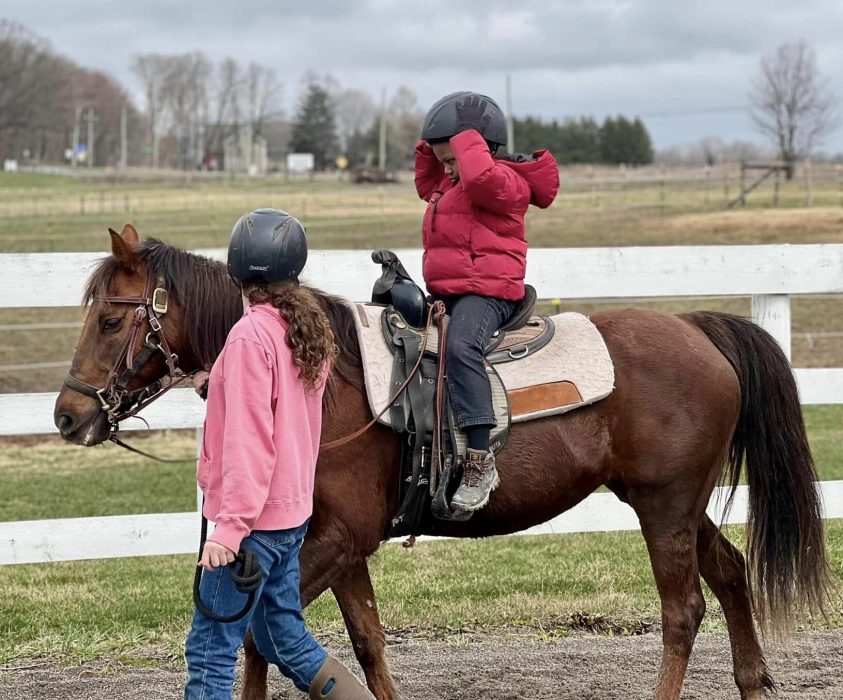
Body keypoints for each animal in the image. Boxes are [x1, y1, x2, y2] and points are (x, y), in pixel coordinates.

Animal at [54, 226, 832, 700]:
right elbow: (364, 641)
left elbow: (255, 638)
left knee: (683, 609)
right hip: (670, 502)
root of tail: (698, 327)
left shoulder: (338, 540)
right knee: (729, 572)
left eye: (112, 320)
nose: (68, 415)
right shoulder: (339, 544)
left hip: (665, 506)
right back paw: (753, 681)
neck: (323, 378)